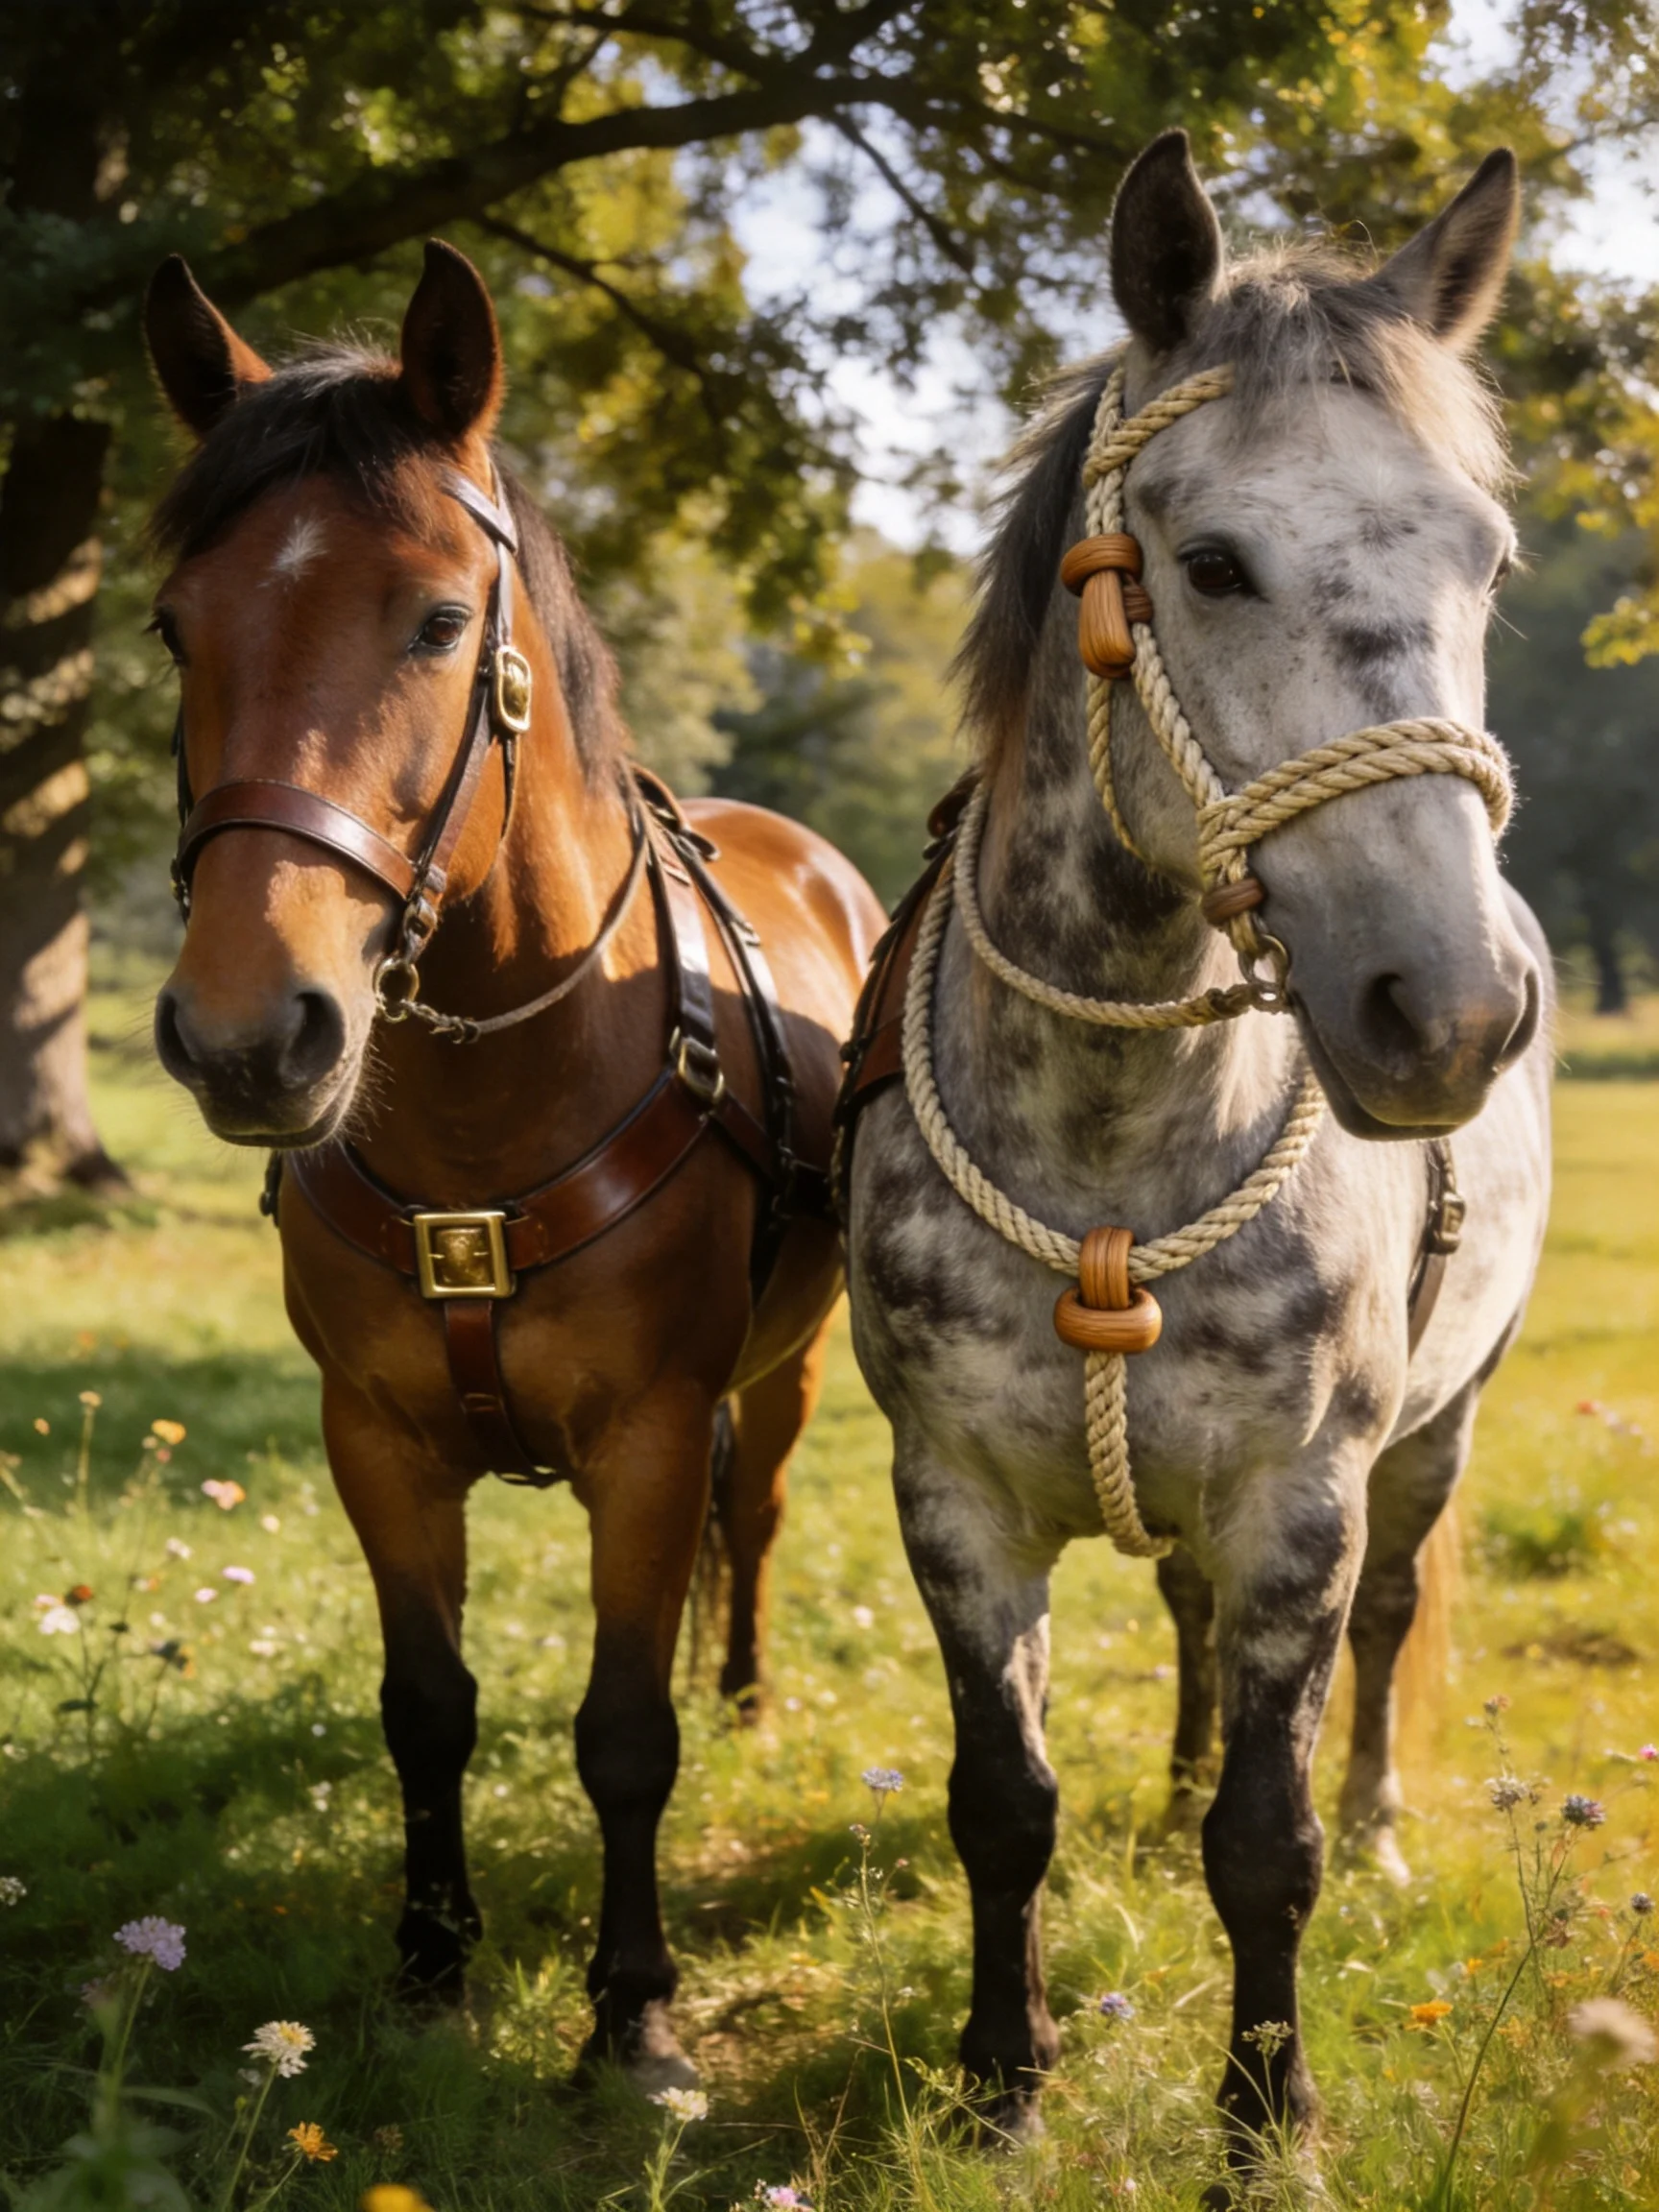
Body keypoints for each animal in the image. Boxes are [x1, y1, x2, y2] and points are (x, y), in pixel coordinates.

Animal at [141, 240, 885, 2091]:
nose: (250, 1033)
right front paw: (428, 1960)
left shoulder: (648, 1435)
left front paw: (634, 2009)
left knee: (756, 1516)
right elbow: (428, 1708)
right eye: (176, 625)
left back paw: (748, 1692)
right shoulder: (377, 1438)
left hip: (787, 1371)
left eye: (433, 618)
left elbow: (624, 1729)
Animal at [839, 131, 1551, 2190]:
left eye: (1483, 560)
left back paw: (1377, 1812)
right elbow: (1001, 1799)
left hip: (1432, 1435)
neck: (1111, 1136)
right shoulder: (952, 1503)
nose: (1449, 1011)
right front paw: (1002, 2073)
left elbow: (1272, 1838)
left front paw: (1265, 2116)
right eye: (1210, 561)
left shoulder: (1300, 1503)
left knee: (1378, 1642)